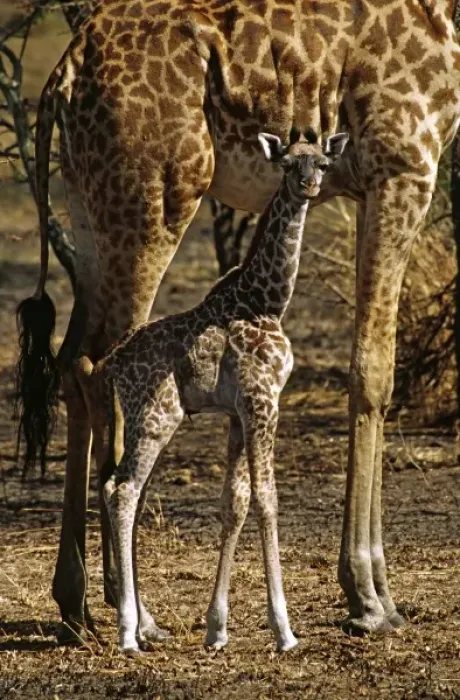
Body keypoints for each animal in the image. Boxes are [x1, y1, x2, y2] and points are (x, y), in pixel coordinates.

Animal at [98, 128, 349, 655]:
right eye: (287, 163)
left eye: (321, 162)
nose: (309, 185)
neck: (267, 301)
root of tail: (112, 364)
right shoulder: (262, 400)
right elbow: (267, 498)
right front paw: (284, 630)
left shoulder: (237, 412)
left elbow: (233, 503)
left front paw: (217, 628)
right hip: (156, 415)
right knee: (124, 489)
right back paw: (129, 632)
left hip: (147, 419)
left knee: (121, 488)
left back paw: (143, 623)